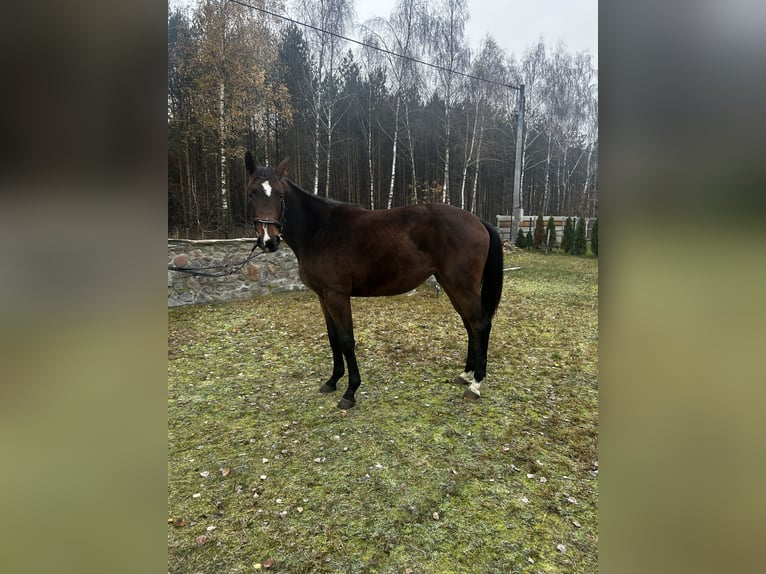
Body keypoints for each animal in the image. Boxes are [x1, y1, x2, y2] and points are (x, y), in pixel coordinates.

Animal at [245, 152, 504, 409]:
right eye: (252, 193)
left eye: (279, 195)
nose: (268, 241)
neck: (320, 230)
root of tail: (478, 220)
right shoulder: (322, 296)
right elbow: (333, 338)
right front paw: (332, 381)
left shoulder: (337, 295)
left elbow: (346, 340)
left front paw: (350, 392)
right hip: (451, 285)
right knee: (469, 325)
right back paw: (466, 375)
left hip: (462, 285)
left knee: (481, 324)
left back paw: (475, 385)